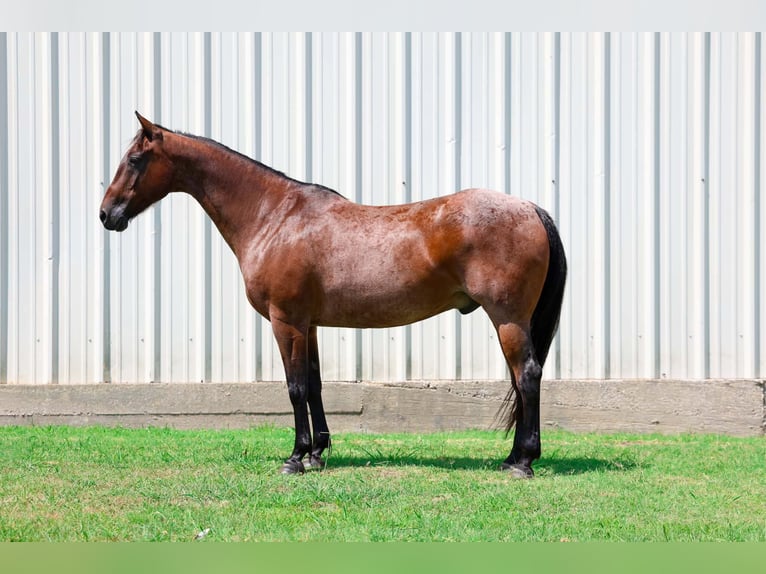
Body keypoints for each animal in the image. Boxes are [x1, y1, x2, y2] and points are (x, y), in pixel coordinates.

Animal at [100, 112, 567, 478]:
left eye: (135, 160)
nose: (106, 215)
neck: (274, 215)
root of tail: (530, 207)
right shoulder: (308, 325)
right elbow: (315, 384)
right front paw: (318, 453)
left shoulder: (286, 321)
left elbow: (295, 388)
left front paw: (295, 458)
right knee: (520, 378)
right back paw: (512, 458)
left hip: (507, 317)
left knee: (527, 375)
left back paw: (523, 462)